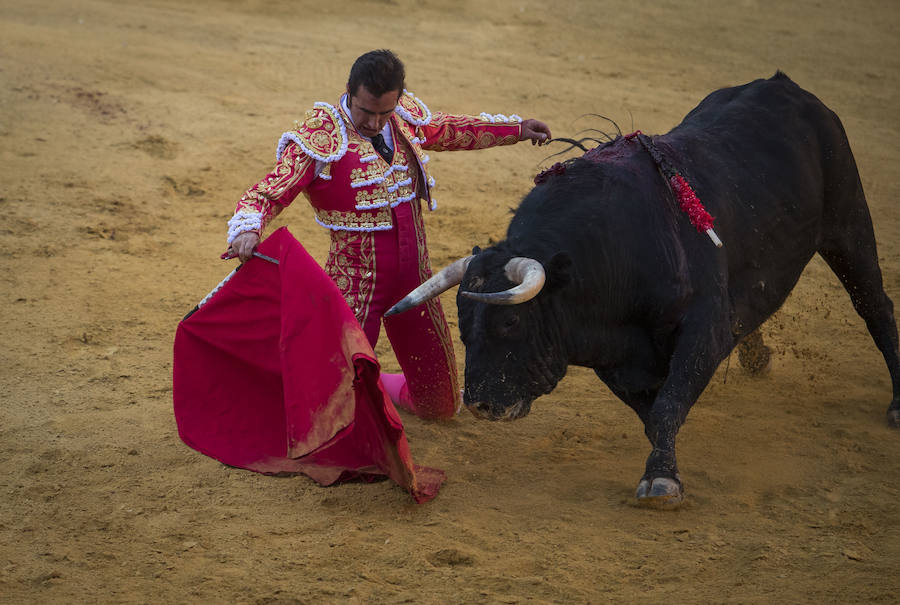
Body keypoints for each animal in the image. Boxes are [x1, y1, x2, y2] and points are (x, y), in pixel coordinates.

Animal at [386, 73, 900, 508]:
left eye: (511, 320)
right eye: (462, 323)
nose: (479, 404)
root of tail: (788, 88)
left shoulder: (703, 328)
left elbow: (669, 403)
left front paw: (662, 481)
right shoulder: (615, 357)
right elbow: (652, 413)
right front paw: (664, 466)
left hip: (848, 220)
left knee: (875, 305)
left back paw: (896, 405)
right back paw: (758, 356)